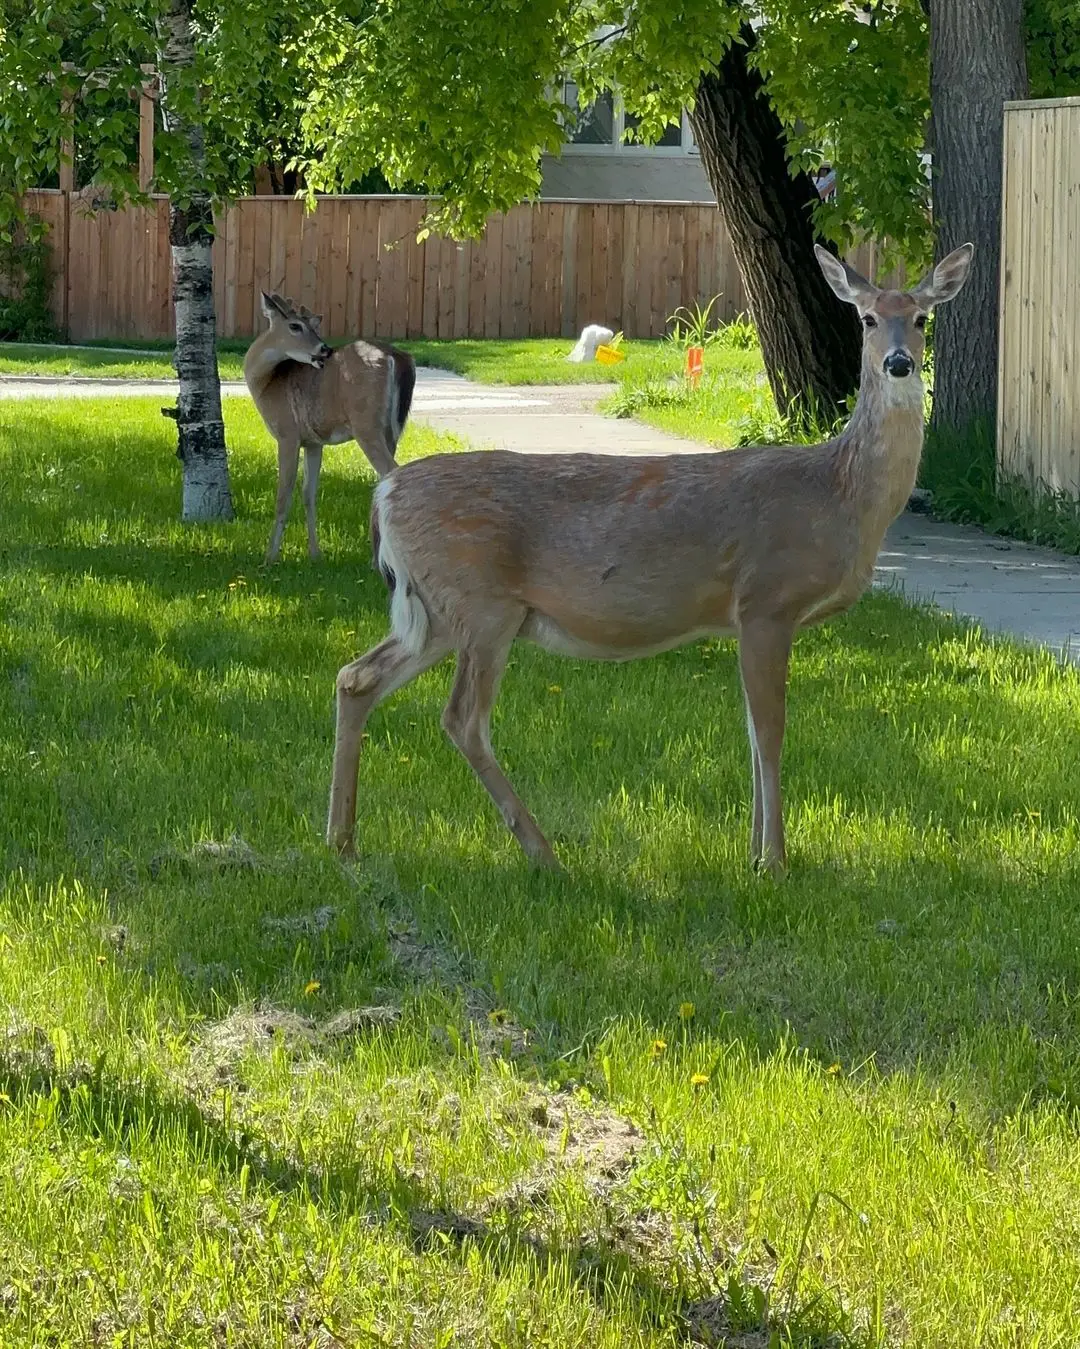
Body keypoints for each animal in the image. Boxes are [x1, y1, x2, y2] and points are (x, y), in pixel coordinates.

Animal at [244, 291, 417, 563]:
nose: (324, 349)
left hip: (366, 424)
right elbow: (309, 494)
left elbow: (283, 494)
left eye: (310, 326)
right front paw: (315, 554)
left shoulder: (287, 434)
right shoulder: (314, 442)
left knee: (391, 472)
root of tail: (396, 357)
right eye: (295, 325)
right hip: (393, 430)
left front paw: (269, 558)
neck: (267, 383)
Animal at [326, 242, 973, 876]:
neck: (838, 494)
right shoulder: (767, 599)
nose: (899, 363)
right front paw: (775, 862)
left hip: (437, 610)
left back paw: (343, 842)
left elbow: (749, 729)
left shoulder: (746, 618)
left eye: (922, 318)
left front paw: (753, 855)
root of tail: (384, 495)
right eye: (867, 318)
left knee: (357, 678)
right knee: (462, 718)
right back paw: (544, 854)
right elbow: (771, 730)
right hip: (482, 603)